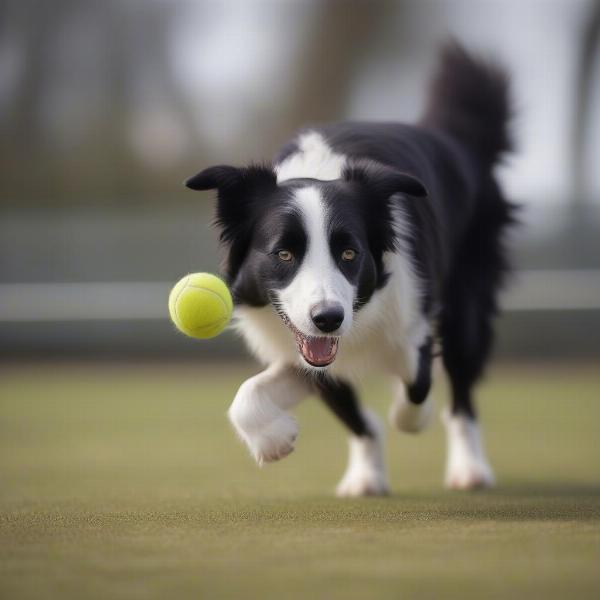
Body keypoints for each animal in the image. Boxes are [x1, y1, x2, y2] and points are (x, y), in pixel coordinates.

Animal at [185, 43, 512, 496]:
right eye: (283, 254)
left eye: (350, 254)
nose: (329, 318)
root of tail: (456, 139)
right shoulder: (307, 350)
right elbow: (250, 397)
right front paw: (274, 440)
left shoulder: (412, 324)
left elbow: (416, 388)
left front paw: (412, 413)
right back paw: (366, 478)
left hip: (466, 304)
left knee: (461, 393)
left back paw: (469, 469)